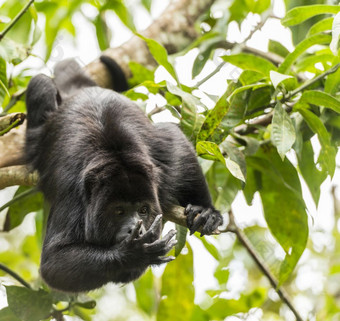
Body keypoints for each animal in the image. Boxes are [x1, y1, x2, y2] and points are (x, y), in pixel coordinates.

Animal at [26, 56, 223, 292]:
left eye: (143, 210)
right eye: (119, 211)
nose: (136, 230)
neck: (114, 155)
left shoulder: (161, 168)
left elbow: (175, 141)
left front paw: (205, 210)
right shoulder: (71, 190)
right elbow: (54, 264)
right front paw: (134, 253)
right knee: (41, 83)